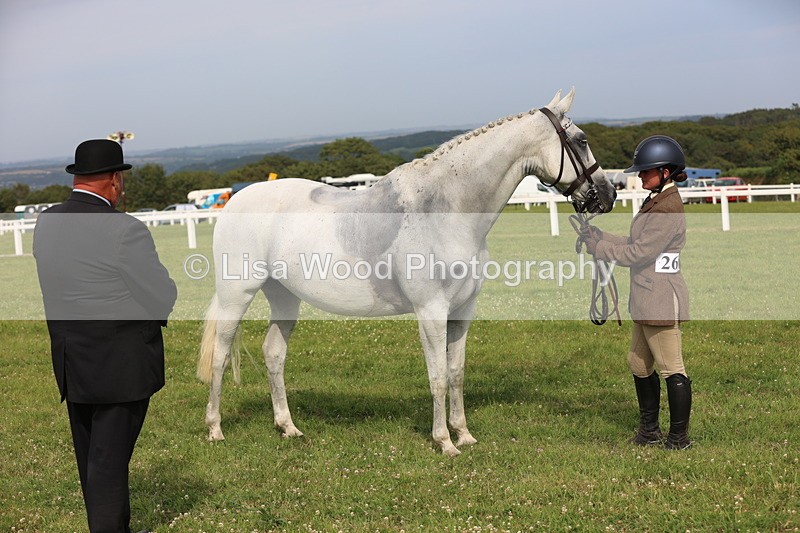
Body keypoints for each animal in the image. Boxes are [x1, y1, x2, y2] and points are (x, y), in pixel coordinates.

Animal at [197, 88, 617, 456]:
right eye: (580, 140)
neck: (446, 210)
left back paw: (288, 427)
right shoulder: (431, 311)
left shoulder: (462, 311)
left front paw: (464, 435)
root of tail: (235, 201)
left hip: (285, 298)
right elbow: (437, 376)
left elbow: (456, 372)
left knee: (273, 354)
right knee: (220, 355)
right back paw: (215, 429)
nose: (607, 195)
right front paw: (444, 442)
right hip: (237, 296)